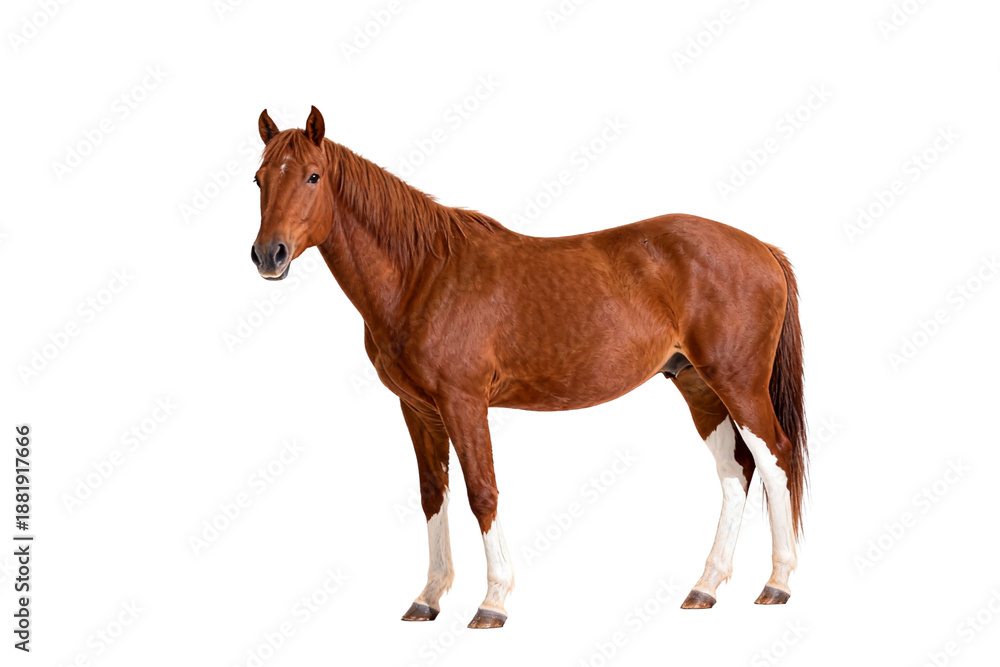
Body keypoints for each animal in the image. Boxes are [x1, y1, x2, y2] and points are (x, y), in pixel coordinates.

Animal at [248, 106, 807, 629]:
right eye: (259, 179)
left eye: (312, 176)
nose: (268, 255)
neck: (423, 274)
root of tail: (763, 249)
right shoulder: (418, 409)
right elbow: (432, 493)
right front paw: (428, 597)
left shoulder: (463, 402)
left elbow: (482, 491)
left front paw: (493, 601)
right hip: (698, 386)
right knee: (735, 471)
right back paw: (705, 587)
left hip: (738, 383)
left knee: (776, 458)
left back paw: (777, 583)